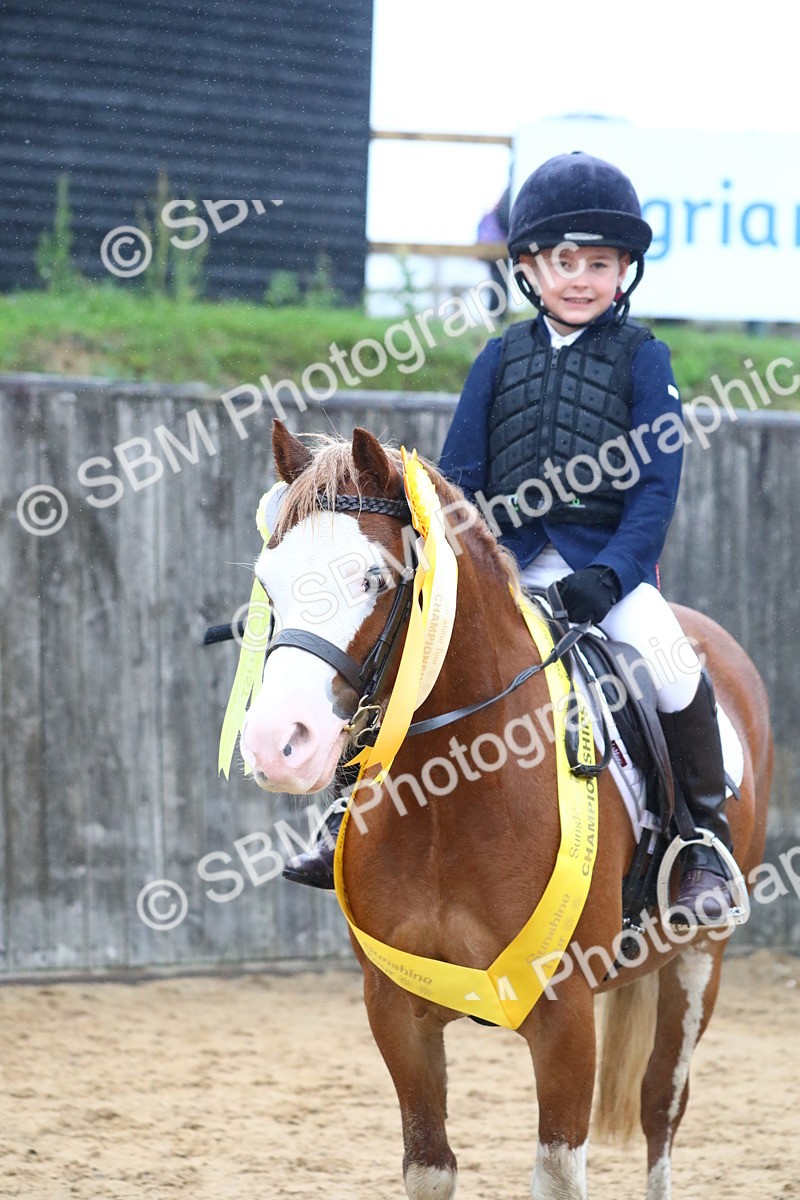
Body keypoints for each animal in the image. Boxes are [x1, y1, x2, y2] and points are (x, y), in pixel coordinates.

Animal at [238, 419, 773, 1200]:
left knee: (661, 1110)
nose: (276, 745)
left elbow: (559, 1173)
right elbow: (429, 1166)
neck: (447, 798)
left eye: (375, 578)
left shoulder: (565, 1015)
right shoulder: (394, 1009)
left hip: (701, 960)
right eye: (270, 581)